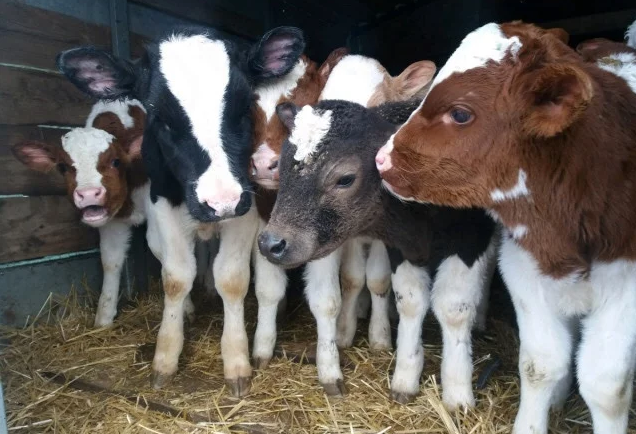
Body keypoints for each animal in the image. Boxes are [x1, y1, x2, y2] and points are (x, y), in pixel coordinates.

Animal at [59, 25, 306, 396]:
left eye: (243, 107)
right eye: (159, 118)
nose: (221, 201)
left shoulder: (245, 203)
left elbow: (232, 279)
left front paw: (236, 360)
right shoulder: (162, 202)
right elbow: (175, 278)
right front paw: (165, 356)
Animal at [258, 99, 496, 406]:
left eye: (345, 179)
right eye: (282, 168)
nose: (271, 243)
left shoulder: (471, 238)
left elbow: (453, 307)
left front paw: (457, 389)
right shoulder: (402, 246)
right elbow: (410, 300)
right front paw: (406, 375)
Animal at [376, 22, 636, 434]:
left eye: (460, 113)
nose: (381, 159)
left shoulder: (626, 283)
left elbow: (606, 384)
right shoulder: (524, 267)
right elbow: (540, 363)